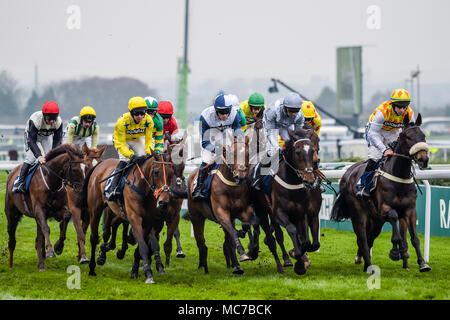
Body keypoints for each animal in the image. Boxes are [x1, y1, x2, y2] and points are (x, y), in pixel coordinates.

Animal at [4, 144, 85, 272]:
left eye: (86, 168)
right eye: (76, 169)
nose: (82, 191)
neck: (51, 181)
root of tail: (11, 174)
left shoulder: (57, 210)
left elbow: (66, 217)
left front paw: (58, 246)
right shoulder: (39, 210)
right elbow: (46, 229)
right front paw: (50, 252)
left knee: (38, 238)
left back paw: (41, 263)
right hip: (12, 214)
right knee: (12, 239)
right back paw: (11, 264)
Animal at [83, 154, 175, 284]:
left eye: (171, 173)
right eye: (156, 172)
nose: (164, 202)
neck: (143, 188)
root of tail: (100, 164)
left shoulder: (149, 222)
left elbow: (142, 247)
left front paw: (135, 270)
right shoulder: (134, 218)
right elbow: (143, 246)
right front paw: (149, 274)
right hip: (96, 209)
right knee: (95, 237)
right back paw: (92, 267)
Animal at [186, 132, 256, 276]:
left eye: (247, 153)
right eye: (232, 152)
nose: (240, 176)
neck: (232, 186)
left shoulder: (243, 210)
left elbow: (247, 226)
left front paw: (251, 249)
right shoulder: (221, 212)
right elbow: (233, 233)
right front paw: (243, 254)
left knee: (227, 240)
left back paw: (234, 265)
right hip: (196, 217)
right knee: (201, 242)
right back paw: (203, 266)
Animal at [332, 113, 430, 272]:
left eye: (423, 136)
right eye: (408, 136)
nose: (424, 159)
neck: (399, 177)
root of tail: (348, 172)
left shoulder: (410, 209)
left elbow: (414, 238)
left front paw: (422, 263)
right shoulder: (384, 208)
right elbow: (395, 219)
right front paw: (395, 252)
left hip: (376, 220)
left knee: (370, 238)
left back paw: (363, 260)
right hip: (359, 214)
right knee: (363, 239)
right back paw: (368, 266)